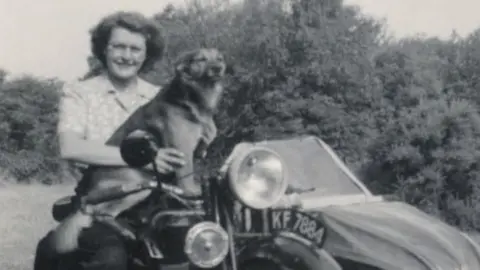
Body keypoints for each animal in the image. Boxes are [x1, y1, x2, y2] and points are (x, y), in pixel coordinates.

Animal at [49, 48, 230, 253]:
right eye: (201, 60)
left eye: (219, 59)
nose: (218, 68)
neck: (195, 96)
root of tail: (86, 196)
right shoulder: (182, 152)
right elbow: (187, 184)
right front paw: (193, 201)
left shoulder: (198, 152)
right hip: (136, 186)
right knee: (99, 213)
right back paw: (124, 231)